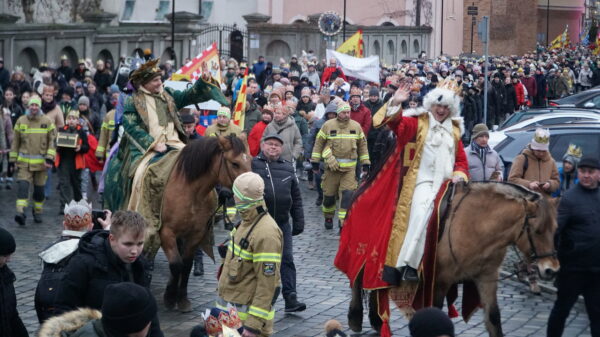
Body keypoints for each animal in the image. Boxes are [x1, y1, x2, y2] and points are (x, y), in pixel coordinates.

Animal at [154, 133, 252, 310]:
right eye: (235, 163)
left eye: (250, 160)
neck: (190, 191)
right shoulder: (166, 232)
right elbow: (176, 264)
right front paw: (170, 298)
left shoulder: (196, 233)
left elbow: (186, 265)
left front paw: (182, 299)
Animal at [350, 181, 560, 336]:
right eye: (538, 230)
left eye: (555, 229)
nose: (551, 270)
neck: (474, 224)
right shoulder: (439, 282)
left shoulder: (486, 277)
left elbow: (493, 318)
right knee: (357, 281)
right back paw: (355, 317)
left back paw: (377, 322)